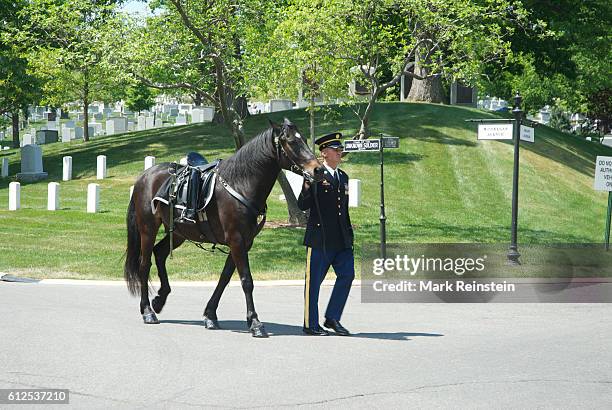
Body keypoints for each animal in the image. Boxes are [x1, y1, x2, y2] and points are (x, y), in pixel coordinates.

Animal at [124, 117, 326, 336]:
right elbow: (246, 280)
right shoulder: (236, 240)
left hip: (178, 232)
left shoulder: (244, 242)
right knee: (144, 265)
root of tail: (144, 176)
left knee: (159, 253)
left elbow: (225, 278)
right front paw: (255, 322)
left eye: (303, 138)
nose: (318, 170)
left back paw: (160, 299)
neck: (241, 184)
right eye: (290, 141)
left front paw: (210, 315)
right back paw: (147, 311)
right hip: (148, 229)